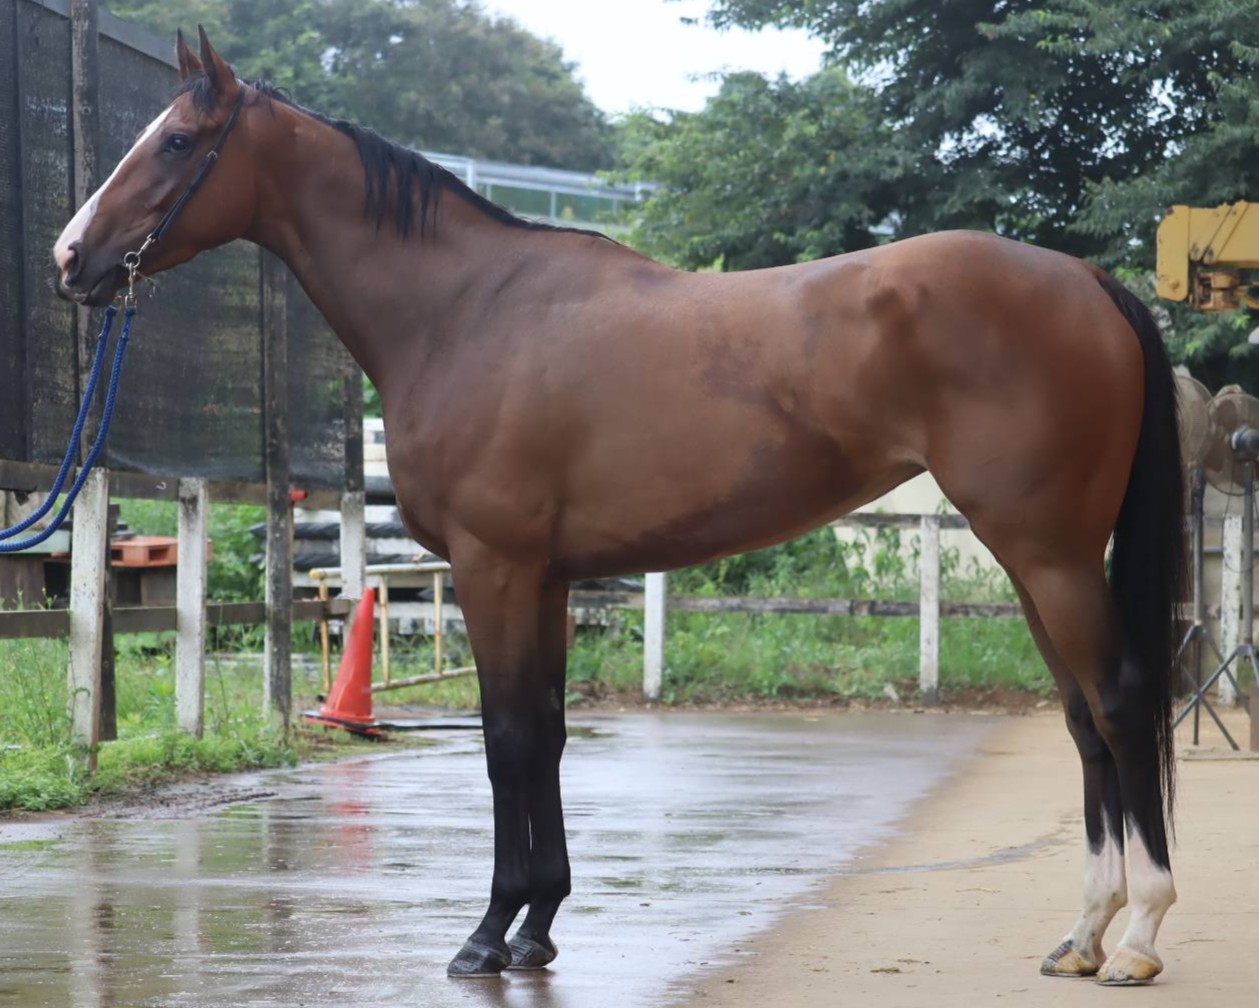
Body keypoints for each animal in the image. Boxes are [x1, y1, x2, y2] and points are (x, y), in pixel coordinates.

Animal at [53, 28, 1185, 986]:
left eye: (178, 140)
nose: (72, 258)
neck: (463, 312)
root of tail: (1088, 279)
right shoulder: (547, 578)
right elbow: (549, 734)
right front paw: (538, 928)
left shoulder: (493, 566)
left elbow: (507, 739)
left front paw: (486, 935)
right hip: (1035, 556)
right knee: (1082, 719)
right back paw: (1082, 934)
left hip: (1046, 552)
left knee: (1120, 704)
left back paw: (1136, 936)